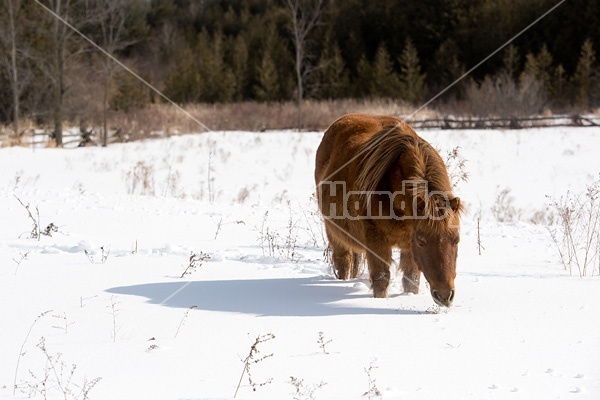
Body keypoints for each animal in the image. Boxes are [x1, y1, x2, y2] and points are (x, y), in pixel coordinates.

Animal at [314, 114, 464, 308]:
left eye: (456, 240)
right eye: (421, 242)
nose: (445, 296)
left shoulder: (408, 244)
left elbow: (411, 279)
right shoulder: (376, 241)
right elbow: (381, 278)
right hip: (335, 233)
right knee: (343, 262)